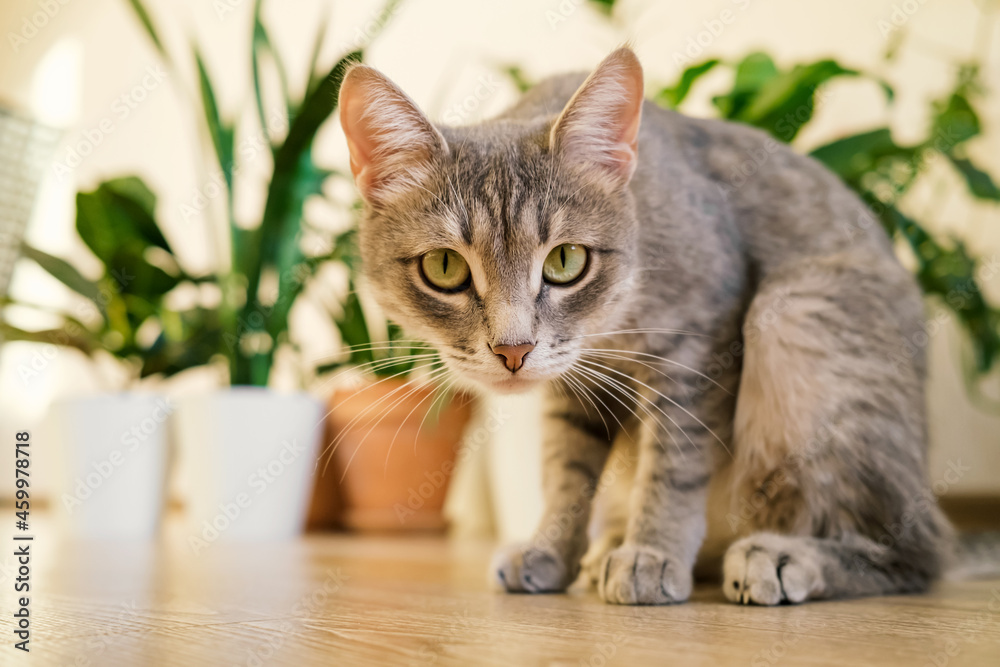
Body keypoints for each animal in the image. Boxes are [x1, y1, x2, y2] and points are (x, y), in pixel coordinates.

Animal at [340, 49, 956, 608]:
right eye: (445, 267)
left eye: (565, 260)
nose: (513, 350)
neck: (613, 321)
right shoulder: (575, 382)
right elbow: (566, 470)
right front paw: (552, 549)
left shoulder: (700, 348)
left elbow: (674, 464)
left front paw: (652, 553)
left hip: (796, 313)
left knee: (918, 554)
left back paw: (782, 556)